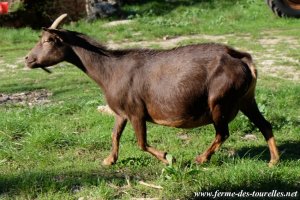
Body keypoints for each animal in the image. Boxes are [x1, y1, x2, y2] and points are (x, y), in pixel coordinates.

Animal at [25, 14, 278, 166]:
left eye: (48, 40)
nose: (27, 59)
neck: (110, 70)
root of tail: (242, 58)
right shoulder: (121, 112)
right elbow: (115, 135)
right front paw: (109, 160)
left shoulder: (136, 111)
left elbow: (141, 143)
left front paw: (166, 158)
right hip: (246, 99)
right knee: (264, 124)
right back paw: (273, 161)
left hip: (219, 101)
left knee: (222, 133)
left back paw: (201, 158)